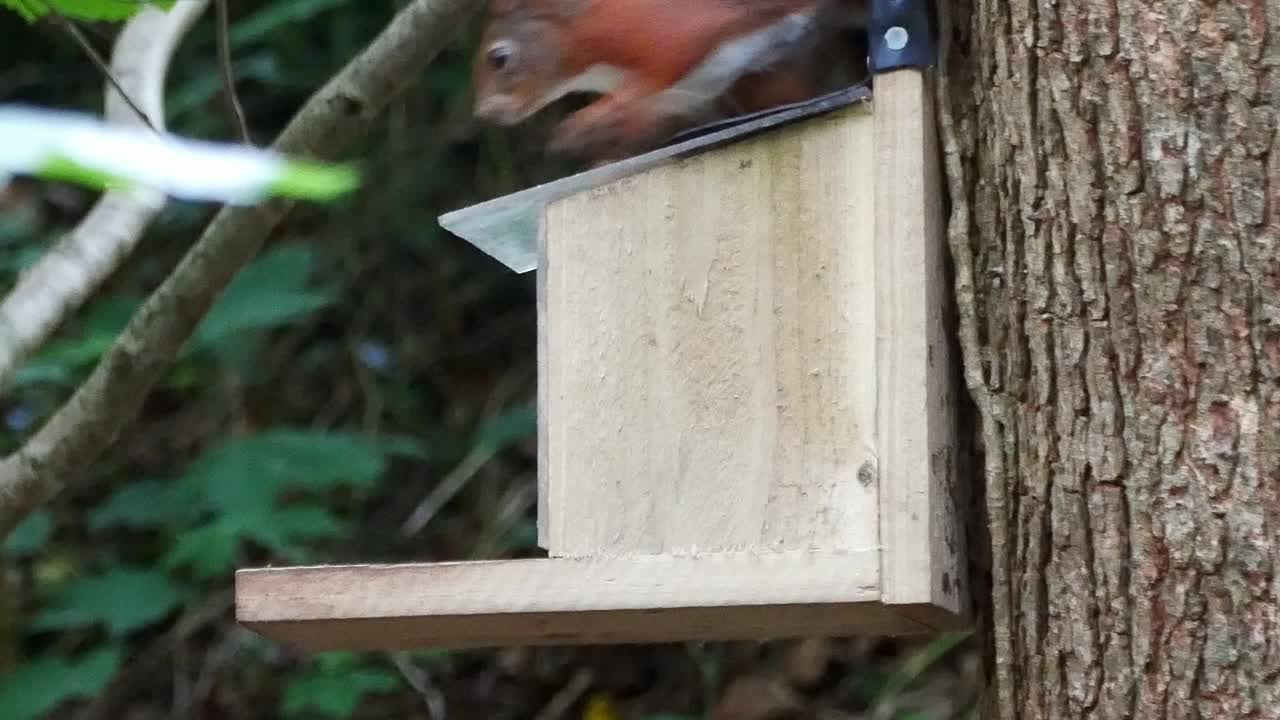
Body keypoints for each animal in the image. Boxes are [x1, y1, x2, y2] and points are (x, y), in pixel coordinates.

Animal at [471, 0, 868, 162]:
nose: (483, 114)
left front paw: (585, 122)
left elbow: (660, 72)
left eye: (498, 58)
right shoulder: (692, 97)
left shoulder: (672, 32)